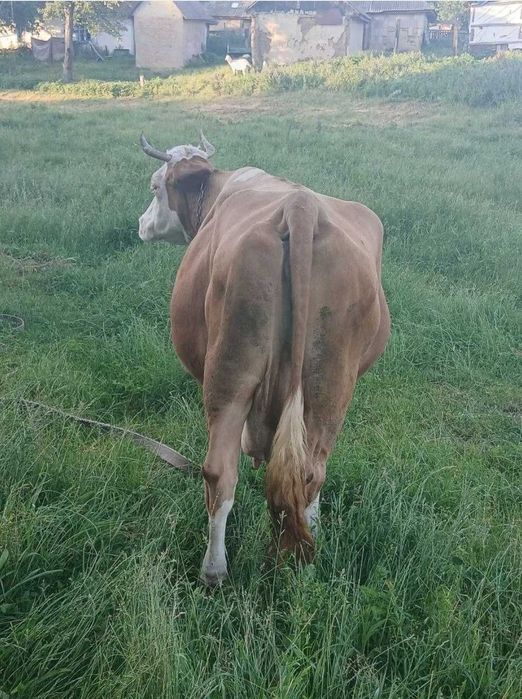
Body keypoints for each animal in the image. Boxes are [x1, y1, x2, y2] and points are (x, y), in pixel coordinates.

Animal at [139, 133, 390, 585]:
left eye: (155, 186)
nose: (141, 224)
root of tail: (301, 206)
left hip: (229, 376)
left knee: (219, 473)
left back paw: (214, 571)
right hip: (330, 388)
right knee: (311, 470)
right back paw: (310, 545)